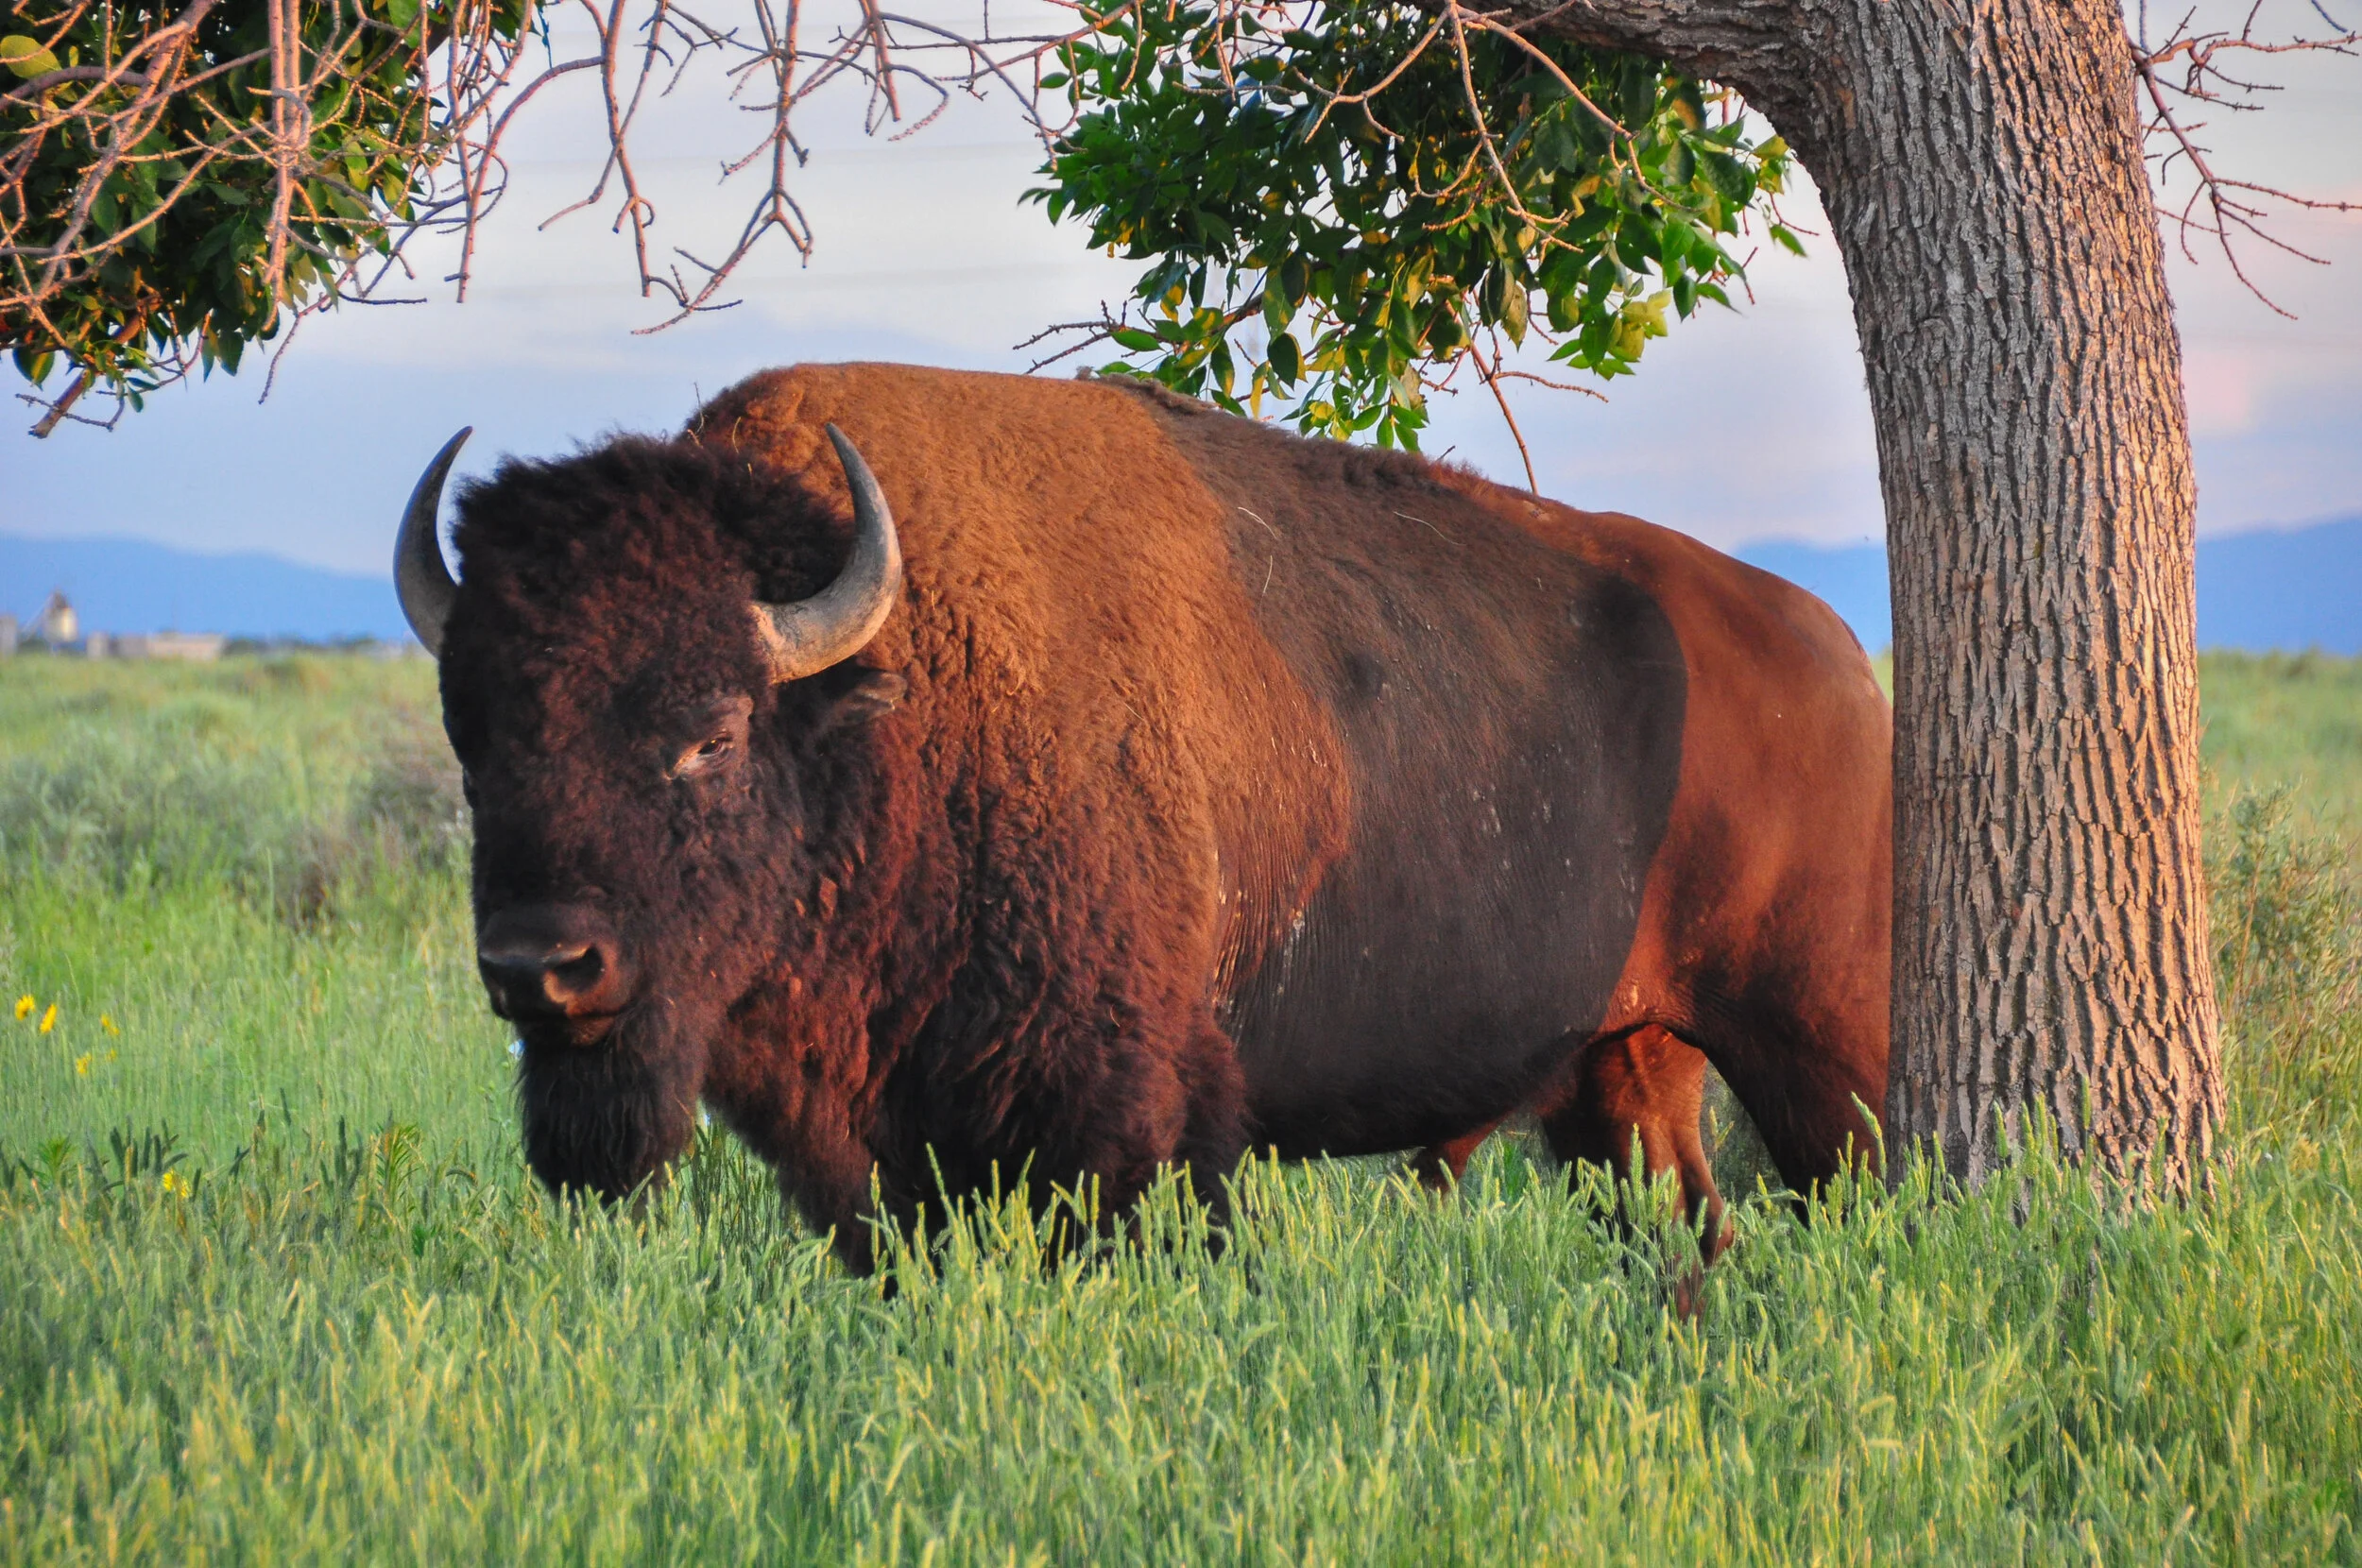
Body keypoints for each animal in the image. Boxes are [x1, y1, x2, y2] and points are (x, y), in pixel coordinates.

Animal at [396, 362, 1889, 1266]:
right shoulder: (882, 1159)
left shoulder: (1124, 1119)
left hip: (1819, 1049)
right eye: (477, 739)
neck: (885, 705)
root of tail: (1838, 664)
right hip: (1623, 1069)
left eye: (711, 734)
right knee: (1684, 1219)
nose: (542, 969)